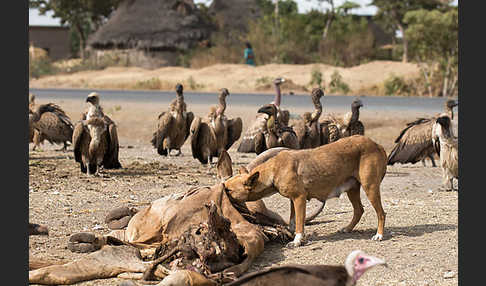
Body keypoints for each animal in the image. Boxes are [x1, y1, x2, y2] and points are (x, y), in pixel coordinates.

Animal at [223, 135, 388, 247]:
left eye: (228, 189)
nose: (220, 191)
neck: (274, 171)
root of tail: (377, 145)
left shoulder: (299, 198)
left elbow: (299, 222)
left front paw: (297, 241)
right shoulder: (293, 201)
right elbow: (293, 220)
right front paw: (294, 235)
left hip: (370, 187)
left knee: (381, 213)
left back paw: (379, 235)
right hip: (352, 189)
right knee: (359, 210)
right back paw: (347, 228)